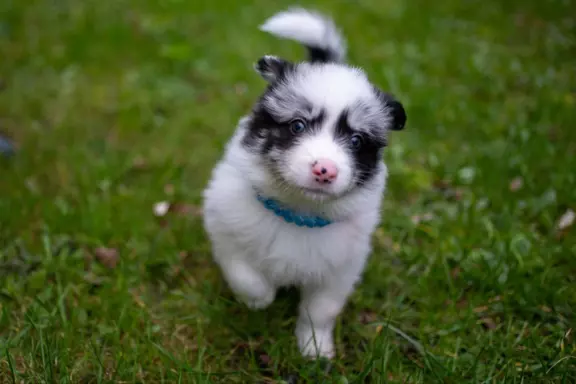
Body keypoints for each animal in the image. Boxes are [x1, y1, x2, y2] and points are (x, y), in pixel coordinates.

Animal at [202, 7, 404, 358]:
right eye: (297, 125)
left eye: (355, 141)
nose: (325, 170)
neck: (299, 212)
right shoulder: (226, 230)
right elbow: (245, 275)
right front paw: (260, 300)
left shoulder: (340, 270)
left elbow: (320, 310)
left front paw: (315, 348)